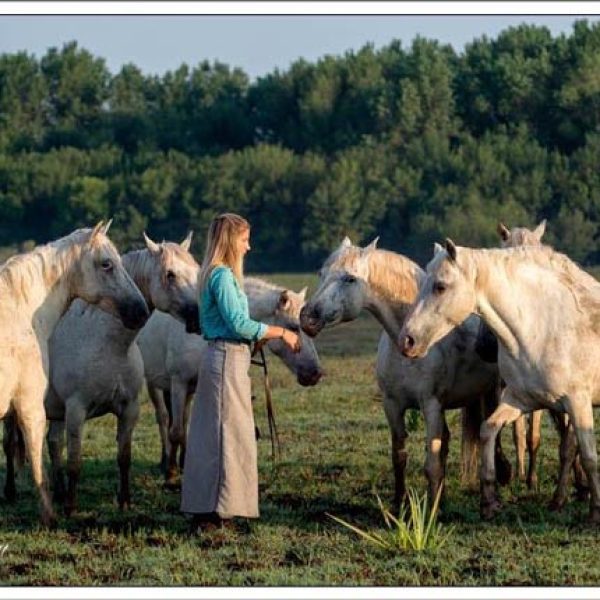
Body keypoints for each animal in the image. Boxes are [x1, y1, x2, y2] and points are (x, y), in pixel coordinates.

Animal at [0, 224, 149, 524]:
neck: (20, 314)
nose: (141, 311)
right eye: (106, 264)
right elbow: (38, 465)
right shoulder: (31, 407)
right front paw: (50, 515)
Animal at [35, 231, 202, 516]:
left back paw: (57, 493)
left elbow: (124, 457)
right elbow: (75, 461)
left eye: (196, 269)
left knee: (54, 443)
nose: (198, 318)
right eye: (170, 274)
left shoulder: (129, 409)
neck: (107, 342)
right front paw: (71, 507)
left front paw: (124, 501)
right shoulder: (76, 410)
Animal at [137, 278, 324, 486]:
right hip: (154, 383)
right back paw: (165, 460)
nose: (315, 373)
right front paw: (171, 474)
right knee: (163, 418)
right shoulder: (179, 383)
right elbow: (176, 430)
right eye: (293, 327)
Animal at [298, 237, 506, 508]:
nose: (307, 318)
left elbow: (431, 465)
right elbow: (399, 457)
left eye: (350, 279)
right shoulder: (392, 404)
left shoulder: (430, 405)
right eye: (321, 274)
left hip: (491, 393)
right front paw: (400, 504)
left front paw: (432, 511)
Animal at [398, 241, 600, 524]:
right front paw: (489, 500)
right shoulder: (520, 400)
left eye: (440, 286)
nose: (407, 340)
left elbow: (590, 456)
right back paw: (557, 500)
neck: (543, 327)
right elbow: (488, 430)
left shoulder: (578, 403)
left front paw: (595, 512)